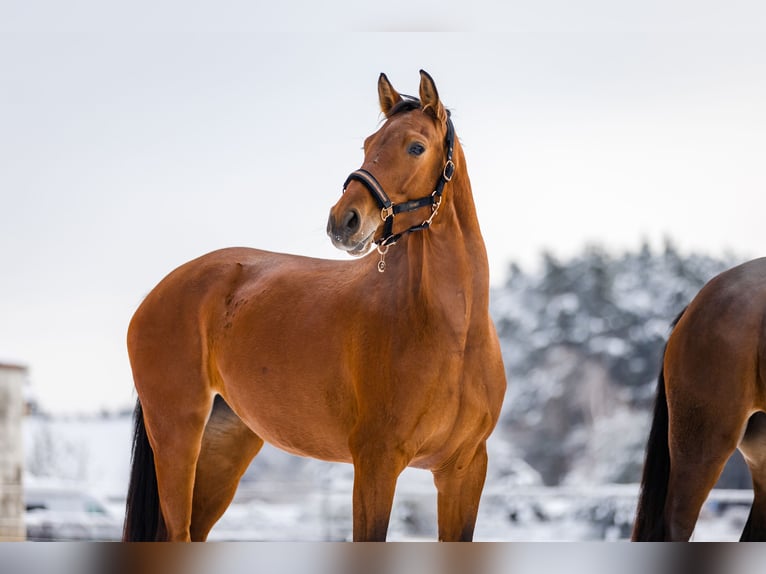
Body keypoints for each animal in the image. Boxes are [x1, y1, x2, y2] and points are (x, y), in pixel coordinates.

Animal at [123, 70, 507, 542]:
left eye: (416, 147)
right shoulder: (376, 464)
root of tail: (156, 294)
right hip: (177, 438)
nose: (344, 221)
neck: (454, 333)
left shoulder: (463, 471)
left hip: (222, 448)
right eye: (368, 143)